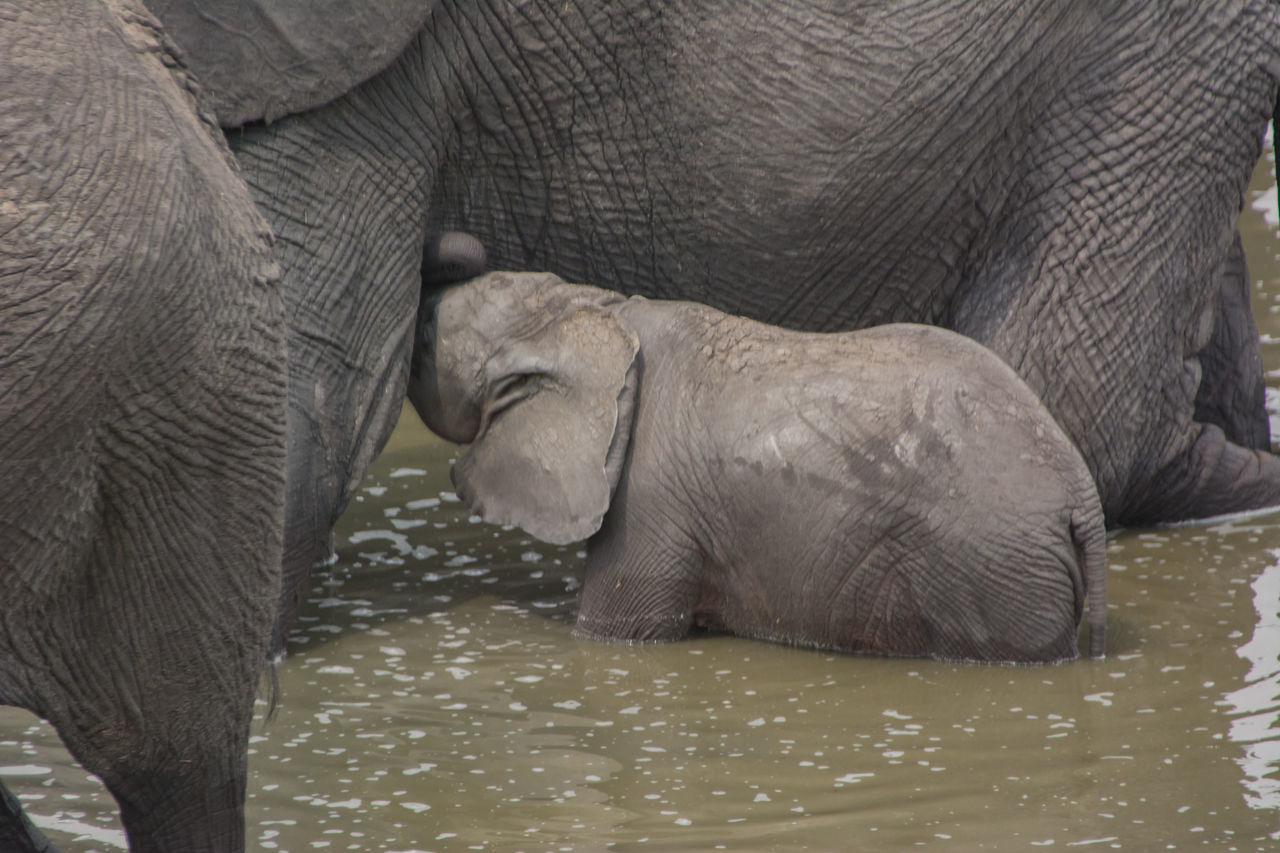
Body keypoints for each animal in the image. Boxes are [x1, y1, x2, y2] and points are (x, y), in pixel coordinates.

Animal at [412, 268, 1111, 660]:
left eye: (425, 337)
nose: (421, 297)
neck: (592, 307)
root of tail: (1081, 493)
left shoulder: (651, 503)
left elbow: (617, 633)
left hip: (994, 575)